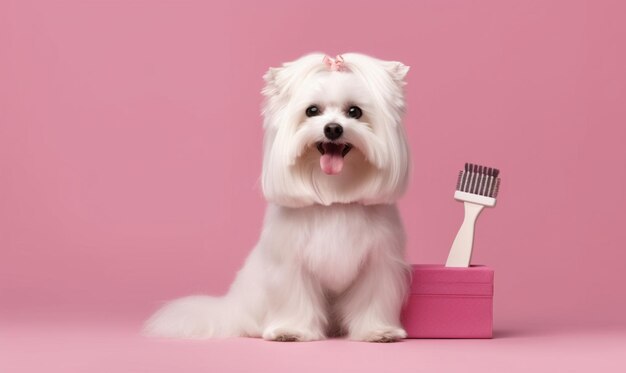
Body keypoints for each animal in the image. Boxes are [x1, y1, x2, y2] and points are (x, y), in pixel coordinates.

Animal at [145, 51, 410, 340]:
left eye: (354, 112)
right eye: (312, 111)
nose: (333, 129)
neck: (334, 196)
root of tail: (230, 306)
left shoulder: (378, 263)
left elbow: (373, 297)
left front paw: (378, 330)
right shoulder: (291, 263)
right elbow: (295, 296)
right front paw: (291, 330)